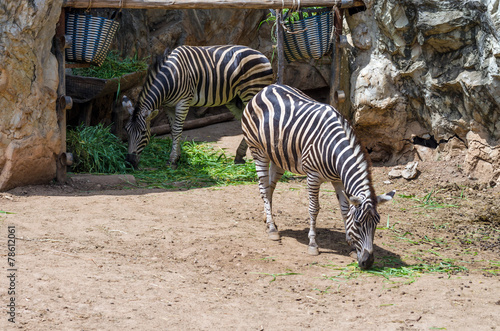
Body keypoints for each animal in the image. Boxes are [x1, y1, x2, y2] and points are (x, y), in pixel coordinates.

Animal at [123, 44, 276, 170]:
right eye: (127, 131)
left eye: (143, 132)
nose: (130, 162)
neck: (170, 77)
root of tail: (262, 55)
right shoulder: (168, 106)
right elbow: (173, 130)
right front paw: (177, 157)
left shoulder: (184, 101)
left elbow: (177, 129)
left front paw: (172, 160)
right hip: (233, 99)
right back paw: (239, 156)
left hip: (252, 91)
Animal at [241, 84, 394, 272]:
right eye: (358, 224)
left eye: (377, 223)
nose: (368, 263)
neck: (334, 149)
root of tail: (266, 88)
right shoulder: (313, 177)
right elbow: (314, 209)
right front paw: (313, 244)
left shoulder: (338, 180)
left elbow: (344, 210)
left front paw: (350, 245)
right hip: (258, 151)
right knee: (263, 188)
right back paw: (272, 229)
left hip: (278, 157)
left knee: (269, 188)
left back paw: (269, 220)